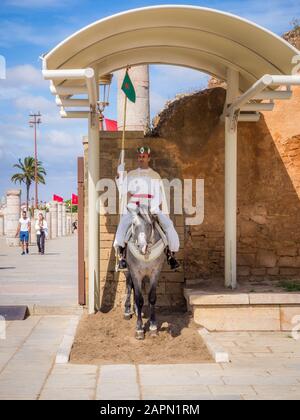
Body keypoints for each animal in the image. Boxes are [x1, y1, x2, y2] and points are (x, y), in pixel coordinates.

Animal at [124, 205, 166, 340]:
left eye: (149, 224)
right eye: (133, 224)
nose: (142, 247)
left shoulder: (155, 273)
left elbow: (151, 297)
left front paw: (153, 326)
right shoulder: (135, 272)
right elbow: (139, 299)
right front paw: (139, 329)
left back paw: (137, 311)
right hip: (128, 271)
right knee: (129, 286)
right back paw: (127, 311)